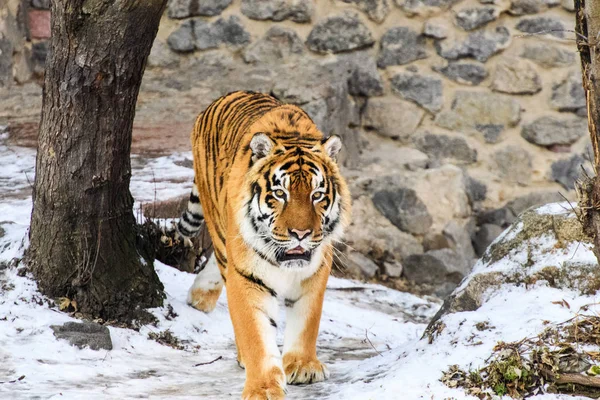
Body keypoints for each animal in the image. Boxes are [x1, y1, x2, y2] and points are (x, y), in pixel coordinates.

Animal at [176, 90, 350, 400]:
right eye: (280, 193)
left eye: (317, 195)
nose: (301, 233)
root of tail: (224, 96)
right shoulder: (247, 276)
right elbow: (255, 333)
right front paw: (263, 388)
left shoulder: (316, 270)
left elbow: (307, 320)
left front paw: (303, 366)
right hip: (221, 230)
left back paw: (199, 296)